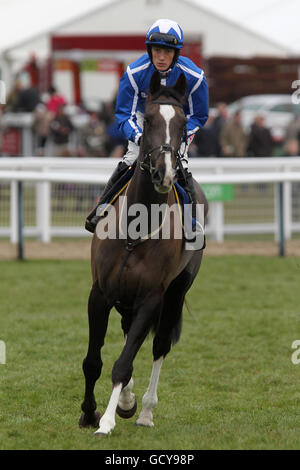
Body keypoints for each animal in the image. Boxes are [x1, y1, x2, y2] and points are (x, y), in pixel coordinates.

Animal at [78, 70, 207, 436]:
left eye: (183, 122)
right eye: (147, 119)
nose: (165, 173)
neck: (135, 231)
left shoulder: (152, 297)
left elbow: (124, 363)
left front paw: (106, 420)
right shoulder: (100, 292)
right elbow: (93, 361)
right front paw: (90, 412)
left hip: (176, 290)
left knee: (158, 345)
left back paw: (145, 409)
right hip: (126, 298)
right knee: (126, 334)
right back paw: (128, 400)